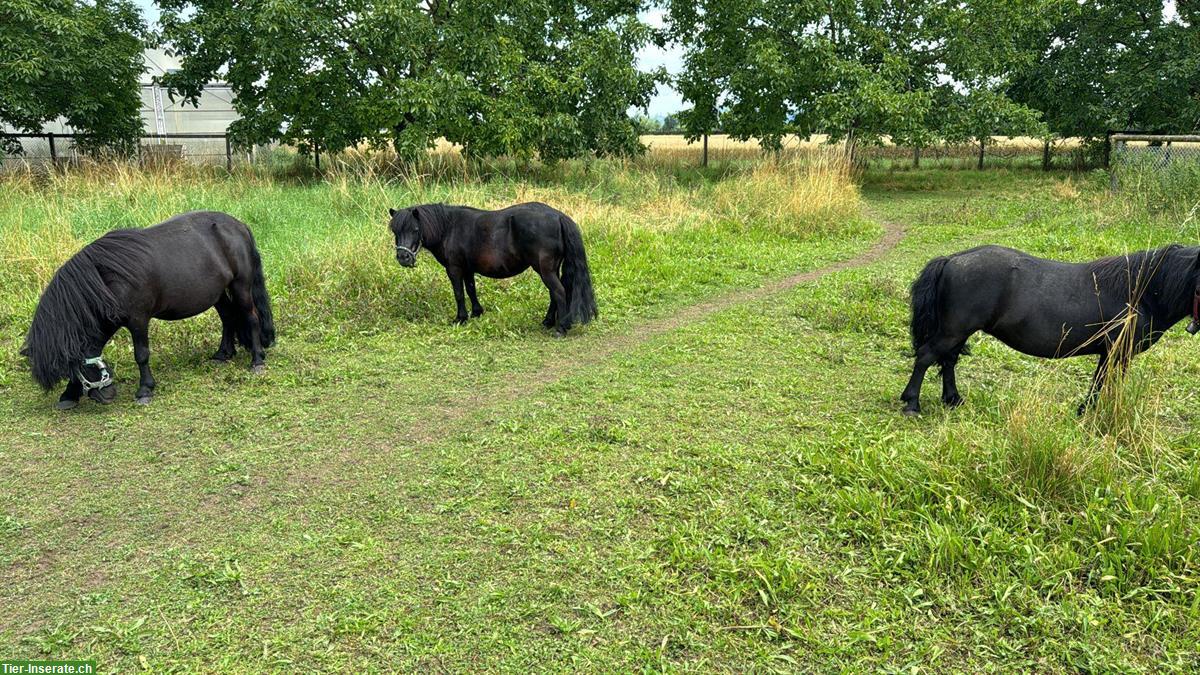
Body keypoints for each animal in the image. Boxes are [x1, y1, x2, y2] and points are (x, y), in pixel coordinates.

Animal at [22, 210, 274, 408]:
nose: (109, 393)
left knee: (250, 317)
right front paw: (69, 395)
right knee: (228, 318)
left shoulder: (138, 320)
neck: (107, 281)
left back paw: (257, 360)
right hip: (218, 294)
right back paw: (223, 354)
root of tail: (238, 225)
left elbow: (141, 355)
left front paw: (145, 390)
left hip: (241, 286)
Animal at [386, 200, 597, 333]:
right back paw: (548, 322)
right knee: (554, 293)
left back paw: (561, 327)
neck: (449, 228)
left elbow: (459, 293)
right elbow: (471, 289)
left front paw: (460, 318)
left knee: (559, 292)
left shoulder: (454, 268)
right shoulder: (468, 268)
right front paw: (476, 312)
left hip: (545, 270)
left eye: (415, 229)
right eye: (395, 231)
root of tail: (558, 216)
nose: (403, 257)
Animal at [902, 240, 1200, 410]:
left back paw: (953, 400)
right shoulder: (1116, 351)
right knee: (926, 357)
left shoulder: (1110, 353)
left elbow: (1102, 381)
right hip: (952, 332)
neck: (1140, 292)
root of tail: (952, 259)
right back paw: (912, 403)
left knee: (948, 361)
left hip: (957, 333)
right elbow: (1104, 382)